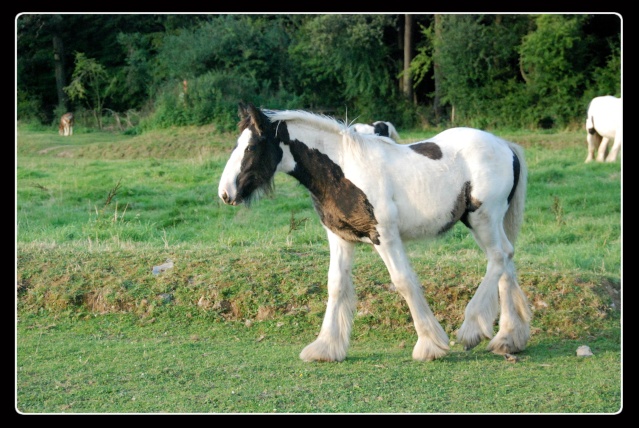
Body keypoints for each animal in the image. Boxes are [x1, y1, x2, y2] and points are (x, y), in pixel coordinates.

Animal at [218, 103, 532, 362]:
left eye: (252, 147)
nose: (225, 193)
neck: (342, 171)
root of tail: (504, 145)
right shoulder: (340, 238)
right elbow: (336, 285)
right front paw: (326, 348)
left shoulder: (385, 236)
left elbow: (403, 281)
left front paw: (430, 345)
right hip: (489, 222)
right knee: (506, 260)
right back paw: (509, 338)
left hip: (483, 218)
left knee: (498, 257)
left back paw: (472, 329)